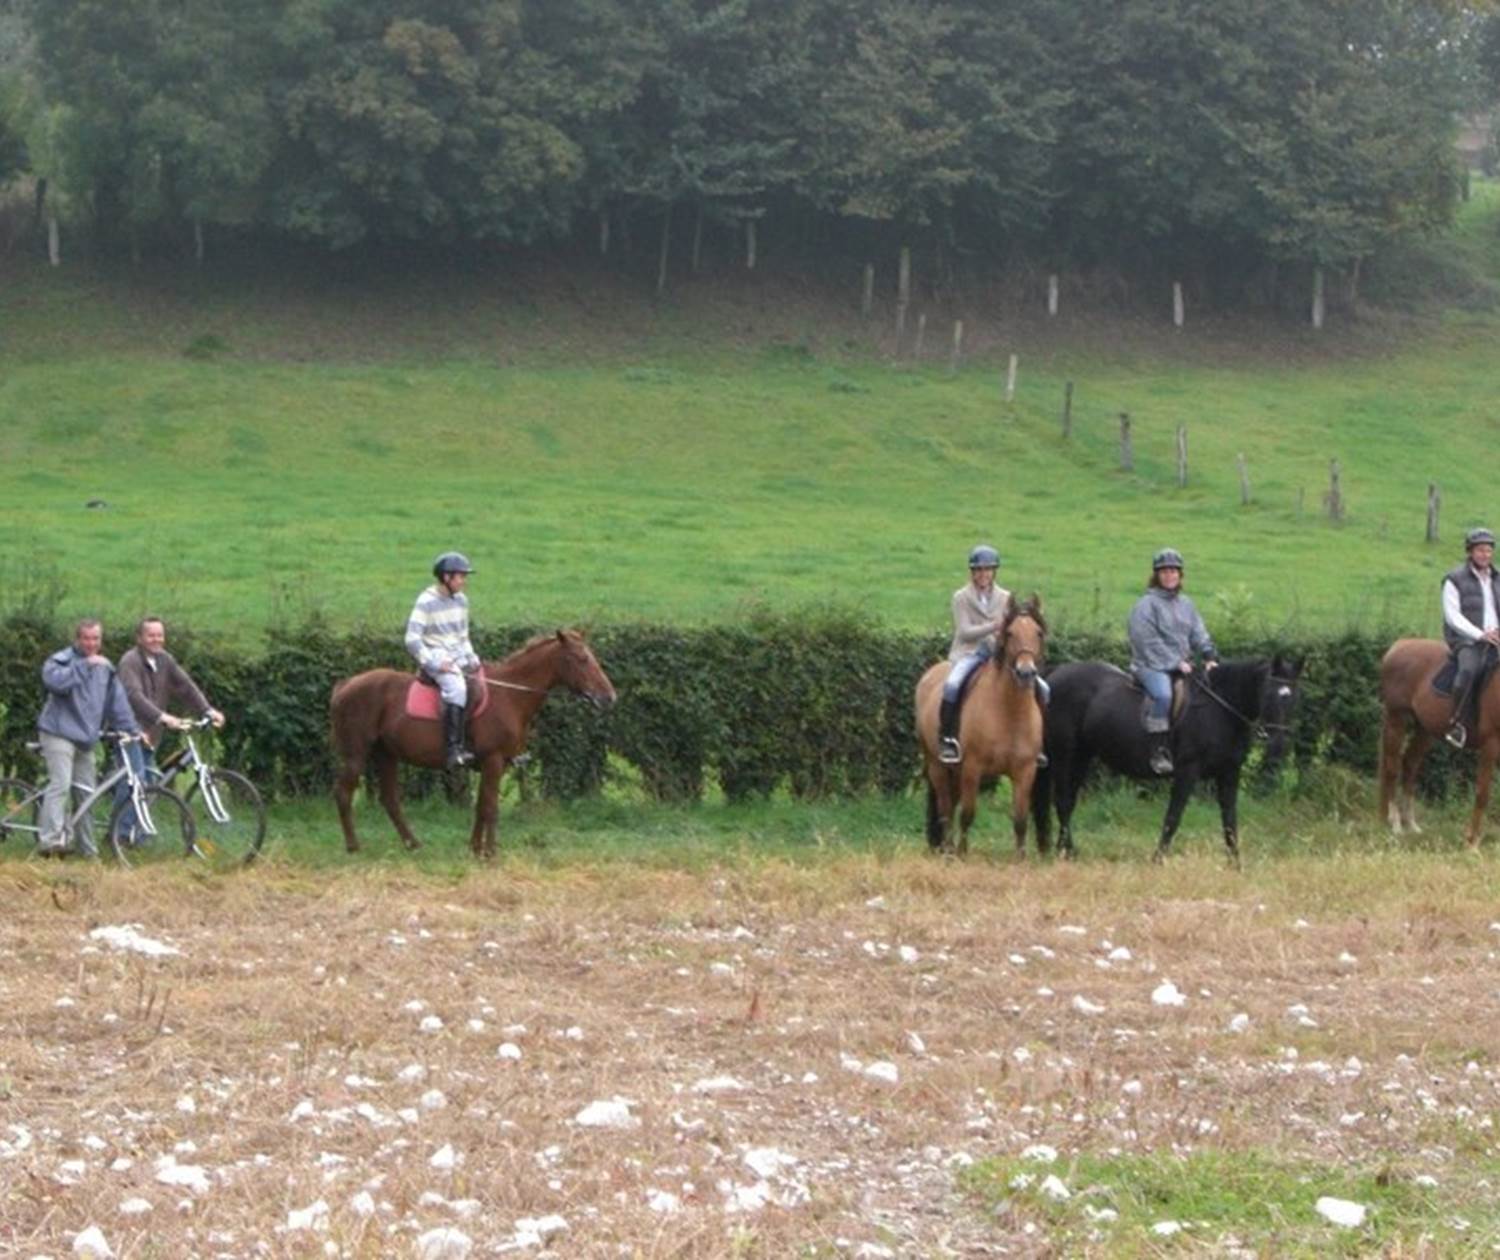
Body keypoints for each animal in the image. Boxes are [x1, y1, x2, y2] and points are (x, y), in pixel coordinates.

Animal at [330, 629, 616, 858]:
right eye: (581, 659)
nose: (609, 697)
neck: (509, 694)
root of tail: (345, 685)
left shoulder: (494, 764)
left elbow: (480, 806)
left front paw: (475, 848)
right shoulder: (494, 760)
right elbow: (490, 806)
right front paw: (489, 852)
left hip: (386, 755)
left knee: (390, 799)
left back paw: (413, 844)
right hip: (356, 755)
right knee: (344, 794)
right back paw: (353, 846)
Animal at [914, 596, 1047, 856]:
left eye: (1037, 633)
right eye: (1010, 633)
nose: (1026, 673)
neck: (1009, 711)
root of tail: (930, 674)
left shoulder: (1025, 771)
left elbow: (1020, 820)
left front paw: (1021, 859)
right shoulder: (972, 768)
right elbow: (968, 815)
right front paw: (963, 854)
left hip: (954, 772)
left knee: (950, 806)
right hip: (938, 766)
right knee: (946, 810)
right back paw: (948, 851)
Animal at [1032, 656, 1301, 866]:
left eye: (1294, 697)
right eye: (1268, 693)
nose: (1278, 745)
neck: (1220, 709)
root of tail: (1055, 673)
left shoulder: (1229, 773)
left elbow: (1230, 819)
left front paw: (1235, 863)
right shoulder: (1187, 771)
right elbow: (1174, 816)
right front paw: (1158, 858)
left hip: (1082, 756)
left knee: (1068, 802)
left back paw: (1063, 850)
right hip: (1065, 753)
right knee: (1062, 801)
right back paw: (1068, 851)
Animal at [1378, 637, 1499, 845]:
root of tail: (1400, 644)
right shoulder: (1490, 745)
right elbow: (1482, 793)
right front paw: (1472, 841)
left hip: (1424, 729)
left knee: (1410, 765)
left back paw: (1411, 824)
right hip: (1397, 719)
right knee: (1393, 767)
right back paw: (1396, 823)